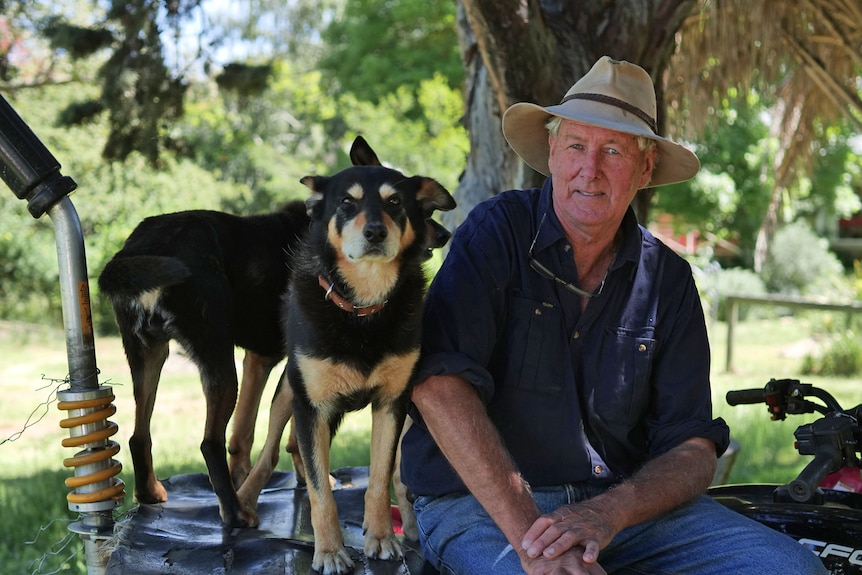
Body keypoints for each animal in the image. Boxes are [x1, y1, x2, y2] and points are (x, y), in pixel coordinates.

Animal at [99, 136, 452, 532]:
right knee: (207, 442)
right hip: (217, 358)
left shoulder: (263, 358)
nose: (443, 234)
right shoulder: (293, 368)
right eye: (421, 210)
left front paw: (261, 480)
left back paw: (152, 492)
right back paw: (233, 513)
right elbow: (296, 436)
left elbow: (246, 434)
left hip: (148, 356)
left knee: (139, 434)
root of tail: (140, 246)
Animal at [233, 155, 456, 572]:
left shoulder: (393, 403)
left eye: (395, 202)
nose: (375, 233)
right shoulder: (311, 407)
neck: (362, 306)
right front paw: (330, 551)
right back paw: (243, 501)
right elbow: (320, 493)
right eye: (346, 203)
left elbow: (382, 477)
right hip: (288, 392)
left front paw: (382, 537)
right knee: (271, 451)